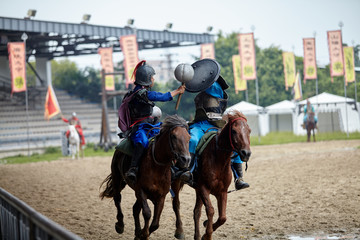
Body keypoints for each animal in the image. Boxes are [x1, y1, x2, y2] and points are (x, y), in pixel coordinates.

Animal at [171, 111, 250, 240]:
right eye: (234, 131)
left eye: (249, 130)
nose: (246, 153)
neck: (218, 158)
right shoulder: (204, 188)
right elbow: (211, 210)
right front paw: (207, 235)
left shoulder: (222, 192)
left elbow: (222, 217)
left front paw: (206, 227)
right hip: (176, 182)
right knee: (176, 204)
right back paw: (179, 231)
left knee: (196, 212)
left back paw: (197, 236)